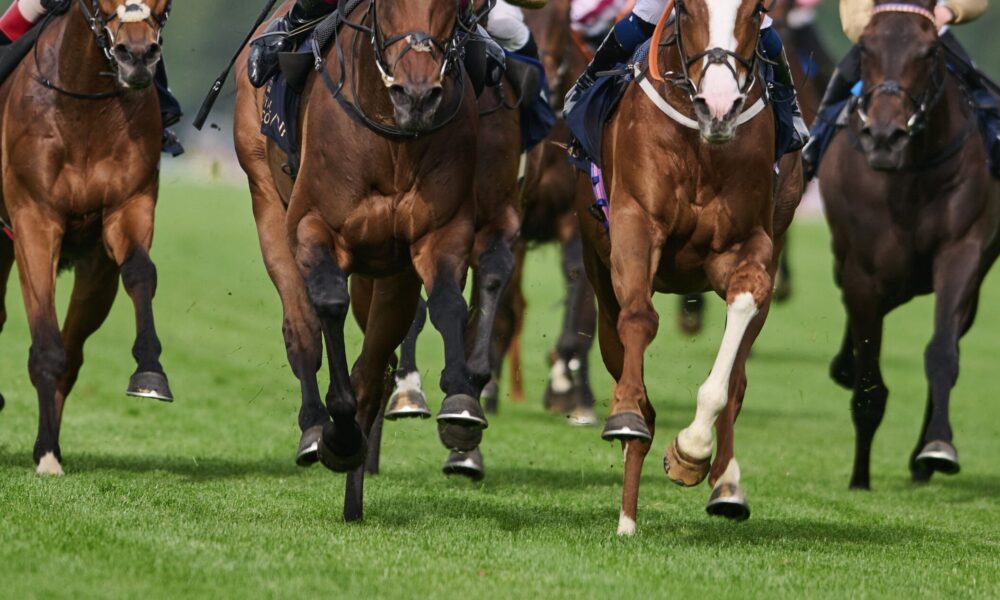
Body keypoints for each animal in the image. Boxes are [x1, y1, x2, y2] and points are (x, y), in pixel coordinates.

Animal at [0, 0, 174, 475]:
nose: (138, 56)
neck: (83, 111)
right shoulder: (34, 219)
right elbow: (46, 343)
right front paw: (46, 457)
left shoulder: (127, 210)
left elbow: (140, 273)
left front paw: (150, 372)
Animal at [234, 0, 494, 521]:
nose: (417, 96)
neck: (393, 138)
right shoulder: (314, 226)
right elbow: (328, 307)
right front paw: (337, 430)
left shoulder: (439, 231)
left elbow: (447, 304)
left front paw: (460, 400)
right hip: (266, 200)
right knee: (301, 327)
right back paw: (317, 427)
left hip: (389, 275)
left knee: (375, 365)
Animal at [576, 0, 803, 534]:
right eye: (686, 7)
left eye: (757, 11)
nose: (718, 105)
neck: (702, 146)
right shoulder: (633, 223)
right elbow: (639, 320)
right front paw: (626, 416)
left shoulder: (745, 246)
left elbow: (743, 307)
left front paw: (693, 450)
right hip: (599, 271)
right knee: (623, 354)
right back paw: (627, 515)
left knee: (739, 378)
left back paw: (724, 487)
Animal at [821, 0, 1000, 490]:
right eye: (866, 47)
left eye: (929, 51)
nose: (885, 136)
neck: (909, 175)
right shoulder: (862, 272)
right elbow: (869, 383)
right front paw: (859, 478)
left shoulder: (962, 249)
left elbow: (942, 352)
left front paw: (936, 447)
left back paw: (923, 459)